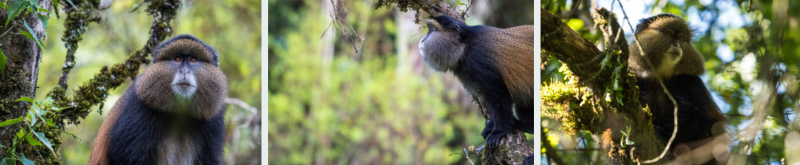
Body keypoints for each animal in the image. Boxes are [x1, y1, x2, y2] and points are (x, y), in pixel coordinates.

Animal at [90, 34, 228, 165]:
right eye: (177, 59)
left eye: (193, 59)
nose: (184, 71)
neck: (179, 112)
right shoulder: (138, 108)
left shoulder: (213, 118)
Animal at [418, 15, 532, 148]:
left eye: (432, 30)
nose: (421, 41)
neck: (464, 45)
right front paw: (492, 124)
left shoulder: (476, 61)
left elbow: (499, 96)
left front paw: (499, 130)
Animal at [632, 14, 724, 164]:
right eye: (669, 34)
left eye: (680, 38)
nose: (676, 45)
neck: (659, 75)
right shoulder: (637, 77)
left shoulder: (689, 81)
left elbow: (694, 117)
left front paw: (661, 134)